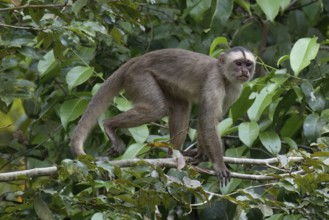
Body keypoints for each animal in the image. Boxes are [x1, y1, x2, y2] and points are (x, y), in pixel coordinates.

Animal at [71, 46, 256, 186]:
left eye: (248, 64)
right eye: (238, 63)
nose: (244, 71)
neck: (224, 75)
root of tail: (138, 59)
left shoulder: (234, 89)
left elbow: (209, 121)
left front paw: (201, 154)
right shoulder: (214, 80)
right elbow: (208, 121)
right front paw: (218, 163)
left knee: (181, 107)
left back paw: (174, 154)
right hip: (138, 77)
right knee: (157, 109)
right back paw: (109, 125)